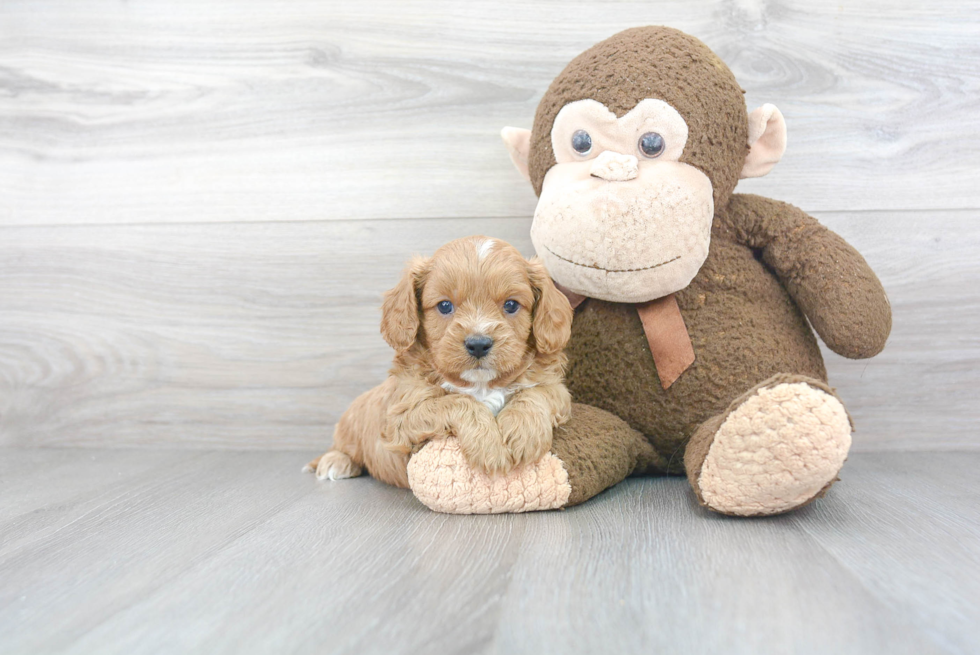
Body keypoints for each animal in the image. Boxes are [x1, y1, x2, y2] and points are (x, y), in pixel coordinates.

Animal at [302, 236, 572, 486]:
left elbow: (535, 394)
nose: (478, 344)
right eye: (444, 306)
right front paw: (491, 450)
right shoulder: (401, 417)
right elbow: (456, 402)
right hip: (351, 425)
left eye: (511, 305)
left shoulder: (557, 390)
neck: (480, 385)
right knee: (341, 447)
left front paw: (522, 433)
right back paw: (335, 462)